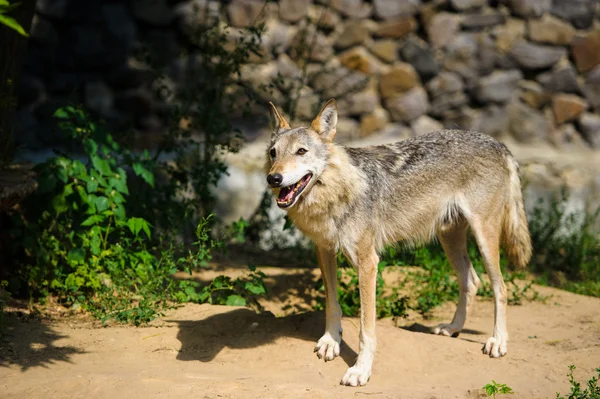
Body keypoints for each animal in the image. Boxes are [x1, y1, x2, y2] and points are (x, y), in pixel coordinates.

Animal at [264, 99, 532, 388]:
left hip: (484, 238)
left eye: (301, 151)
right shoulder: (324, 251)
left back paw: (498, 342)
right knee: (471, 281)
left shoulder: (368, 263)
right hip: (449, 239)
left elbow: (366, 329)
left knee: (500, 287)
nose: (273, 179)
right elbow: (331, 305)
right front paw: (331, 342)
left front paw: (360, 370)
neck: (333, 192)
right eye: (273, 153)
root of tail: (497, 142)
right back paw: (452, 328)